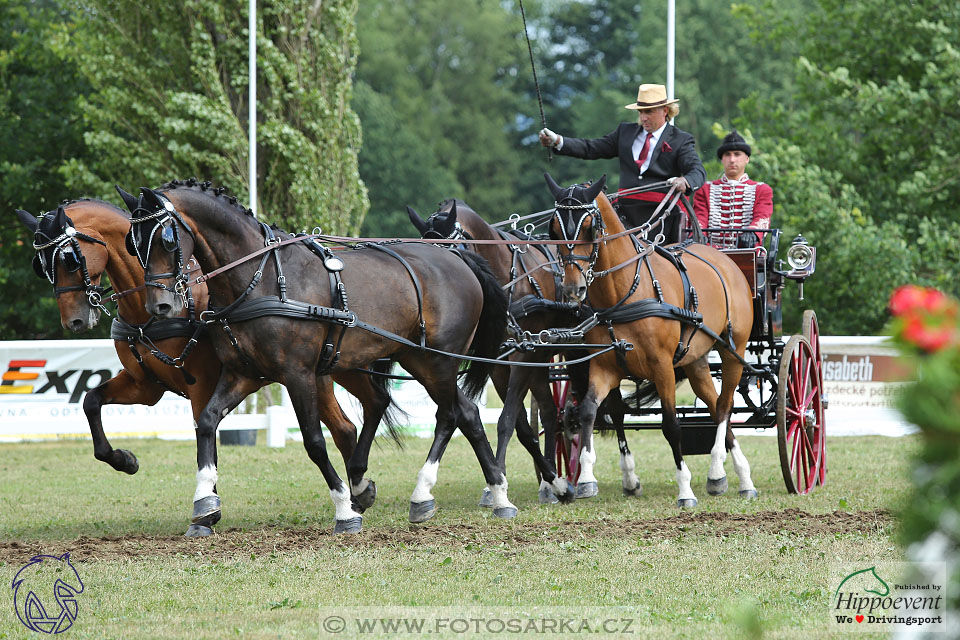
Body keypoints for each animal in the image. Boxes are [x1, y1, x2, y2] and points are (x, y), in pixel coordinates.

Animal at [13, 200, 378, 536]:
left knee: (357, 416)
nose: (73, 321)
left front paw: (206, 507)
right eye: (40, 265)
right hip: (326, 373)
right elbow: (91, 402)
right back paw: (358, 492)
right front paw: (124, 460)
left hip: (330, 371)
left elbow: (206, 433)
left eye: (68, 258)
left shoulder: (201, 384)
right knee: (348, 425)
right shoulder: (144, 386)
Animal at [127, 180, 516, 528]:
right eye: (134, 244)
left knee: (455, 414)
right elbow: (207, 421)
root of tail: (456, 256)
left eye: (166, 239)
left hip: (438, 360)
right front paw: (205, 501)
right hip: (416, 358)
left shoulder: (297, 374)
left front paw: (344, 510)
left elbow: (314, 442)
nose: (160, 305)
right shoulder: (244, 373)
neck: (261, 278)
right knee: (458, 413)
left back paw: (463, 494)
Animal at [548, 174, 756, 504]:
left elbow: (671, 426)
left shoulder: (662, 367)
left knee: (724, 407)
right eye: (554, 230)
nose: (572, 289)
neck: (625, 291)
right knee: (712, 403)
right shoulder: (604, 365)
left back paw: (724, 473)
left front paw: (685, 488)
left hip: (732, 350)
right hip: (695, 359)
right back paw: (727, 474)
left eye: (590, 227)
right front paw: (591, 478)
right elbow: (591, 411)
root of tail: (724, 260)